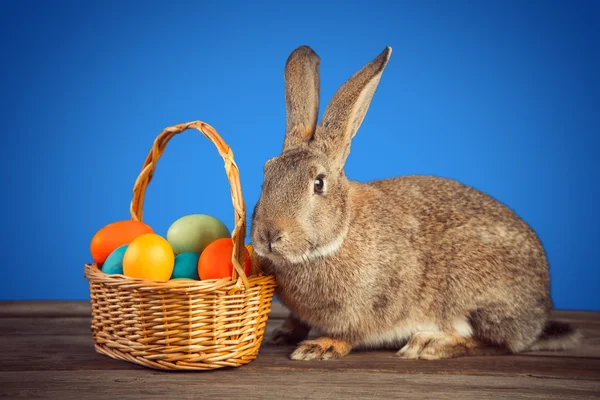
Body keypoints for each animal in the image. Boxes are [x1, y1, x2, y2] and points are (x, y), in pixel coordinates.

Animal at [250, 45, 580, 360]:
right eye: (266, 174)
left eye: (318, 183)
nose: (269, 236)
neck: (339, 236)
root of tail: (539, 314)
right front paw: (285, 333)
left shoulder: (370, 305)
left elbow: (350, 333)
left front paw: (319, 347)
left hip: (474, 295)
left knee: (495, 343)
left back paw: (429, 344)